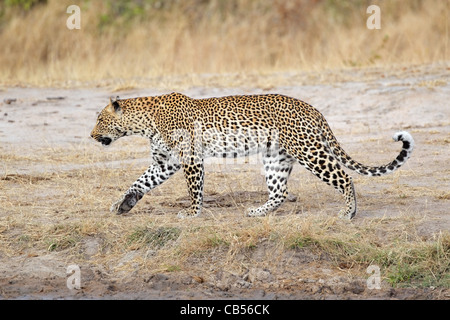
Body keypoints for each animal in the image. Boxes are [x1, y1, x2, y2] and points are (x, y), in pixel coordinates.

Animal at [89, 91, 414, 219]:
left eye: (100, 120)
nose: (91, 135)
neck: (144, 122)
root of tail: (311, 107)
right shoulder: (164, 162)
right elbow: (140, 182)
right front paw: (122, 205)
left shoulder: (191, 158)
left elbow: (194, 190)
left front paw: (192, 214)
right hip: (276, 159)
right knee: (279, 192)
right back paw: (257, 212)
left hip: (309, 151)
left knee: (344, 177)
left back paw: (348, 212)